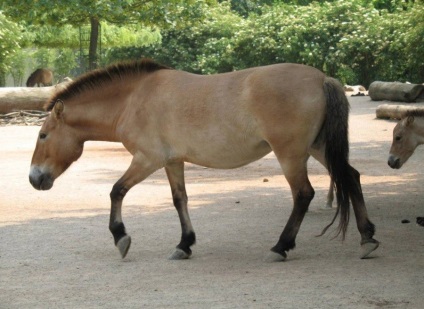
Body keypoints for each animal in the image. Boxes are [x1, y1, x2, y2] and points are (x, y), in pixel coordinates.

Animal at [28, 58, 380, 260]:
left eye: (43, 135)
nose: (35, 178)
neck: (134, 99)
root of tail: (323, 79)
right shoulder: (172, 161)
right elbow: (179, 200)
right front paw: (184, 244)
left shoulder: (147, 159)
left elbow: (116, 191)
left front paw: (121, 237)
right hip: (318, 148)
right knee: (351, 176)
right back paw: (367, 238)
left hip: (291, 154)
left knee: (303, 194)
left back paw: (281, 246)